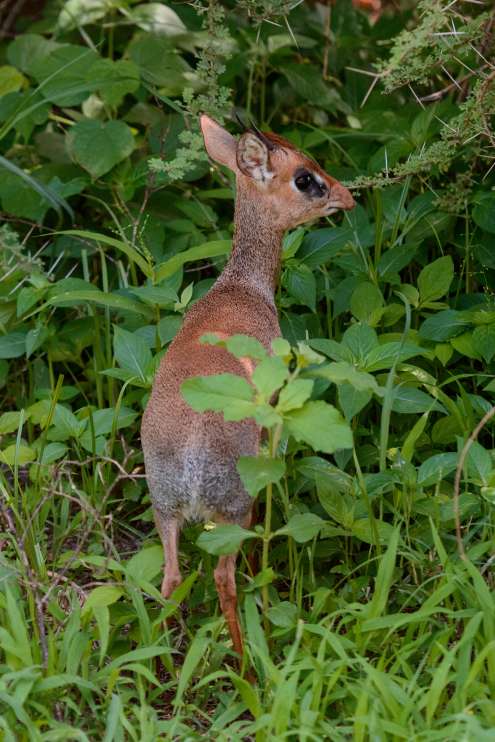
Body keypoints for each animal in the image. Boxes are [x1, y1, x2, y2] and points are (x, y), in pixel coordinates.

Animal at [141, 117, 354, 664]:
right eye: (305, 178)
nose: (346, 195)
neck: (242, 288)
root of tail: (191, 464)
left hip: (164, 508)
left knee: (170, 578)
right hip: (233, 509)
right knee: (223, 576)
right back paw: (247, 666)